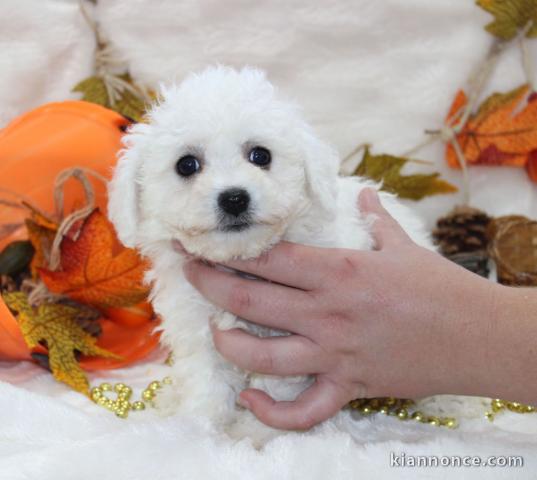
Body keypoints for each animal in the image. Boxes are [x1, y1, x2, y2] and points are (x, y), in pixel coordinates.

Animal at [108, 65, 432, 440]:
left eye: (260, 156)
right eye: (186, 165)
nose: (234, 198)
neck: (240, 260)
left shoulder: (294, 343)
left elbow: (273, 388)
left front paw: (256, 431)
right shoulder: (199, 329)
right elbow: (208, 382)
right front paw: (201, 428)